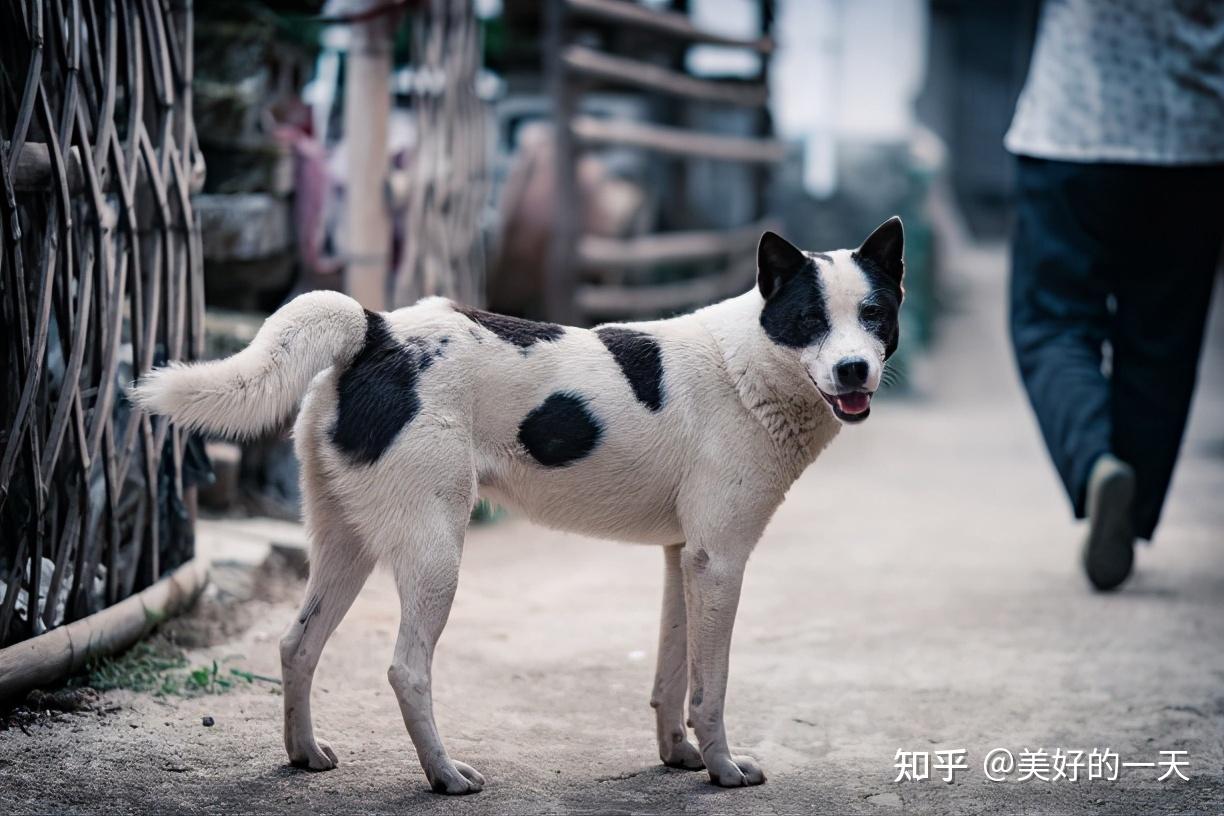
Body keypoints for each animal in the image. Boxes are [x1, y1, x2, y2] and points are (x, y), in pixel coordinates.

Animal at [134, 216, 905, 792]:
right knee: (406, 669)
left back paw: (304, 754)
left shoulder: (683, 557)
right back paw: (444, 775)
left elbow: (670, 675)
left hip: (345, 546)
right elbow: (708, 687)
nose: (854, 370)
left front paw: (677, 756)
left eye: (873, 315)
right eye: (809, 318)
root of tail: (376, 330)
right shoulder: (720, 562)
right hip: (435, 553)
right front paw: (720, 769)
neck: (747, 367)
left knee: (297, 645)